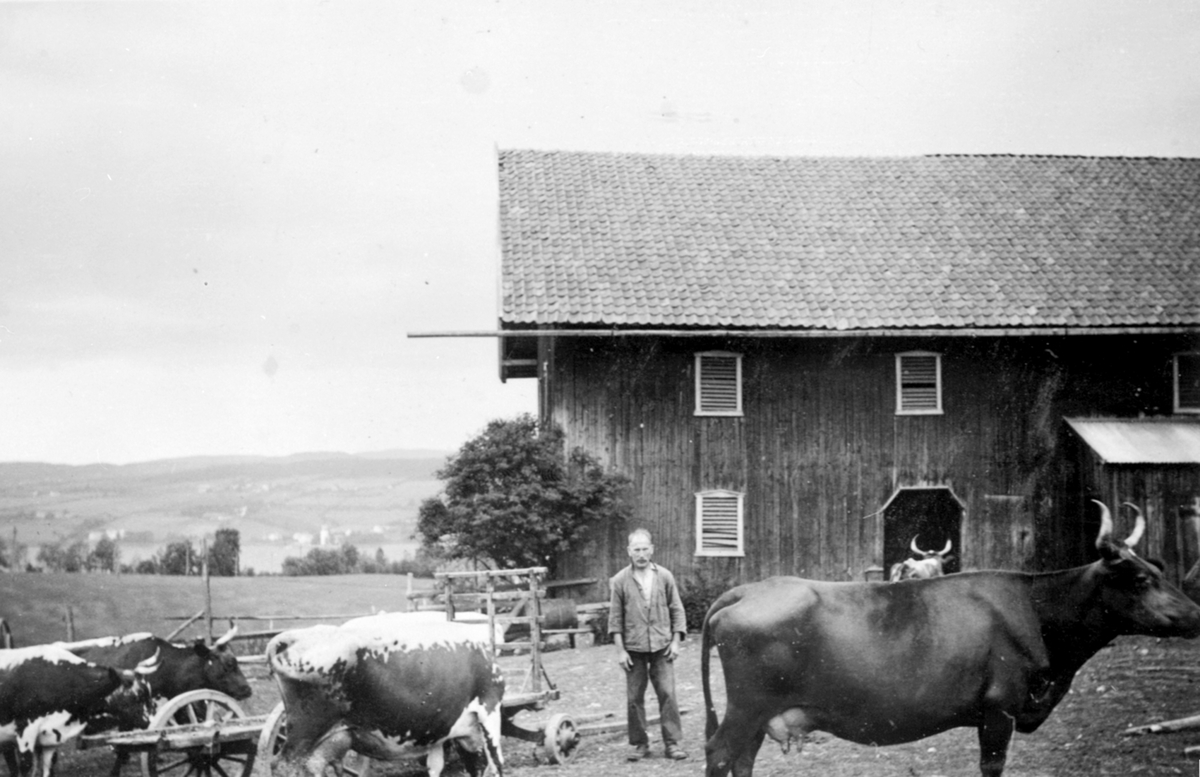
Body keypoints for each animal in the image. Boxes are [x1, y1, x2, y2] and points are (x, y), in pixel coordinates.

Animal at [0, 642, 157, 777]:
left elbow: (48, 769)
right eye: (138, 695)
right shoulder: (25, 732)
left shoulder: (49, 739)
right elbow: (25, 767)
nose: (147, 722)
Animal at [265, 613, 504, 777]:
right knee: (282, 765)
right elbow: (496, 763)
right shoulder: (489, 710)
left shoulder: (440, 731)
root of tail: (293, 636)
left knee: (311, 766)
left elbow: (438, 766)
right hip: (305, 730)